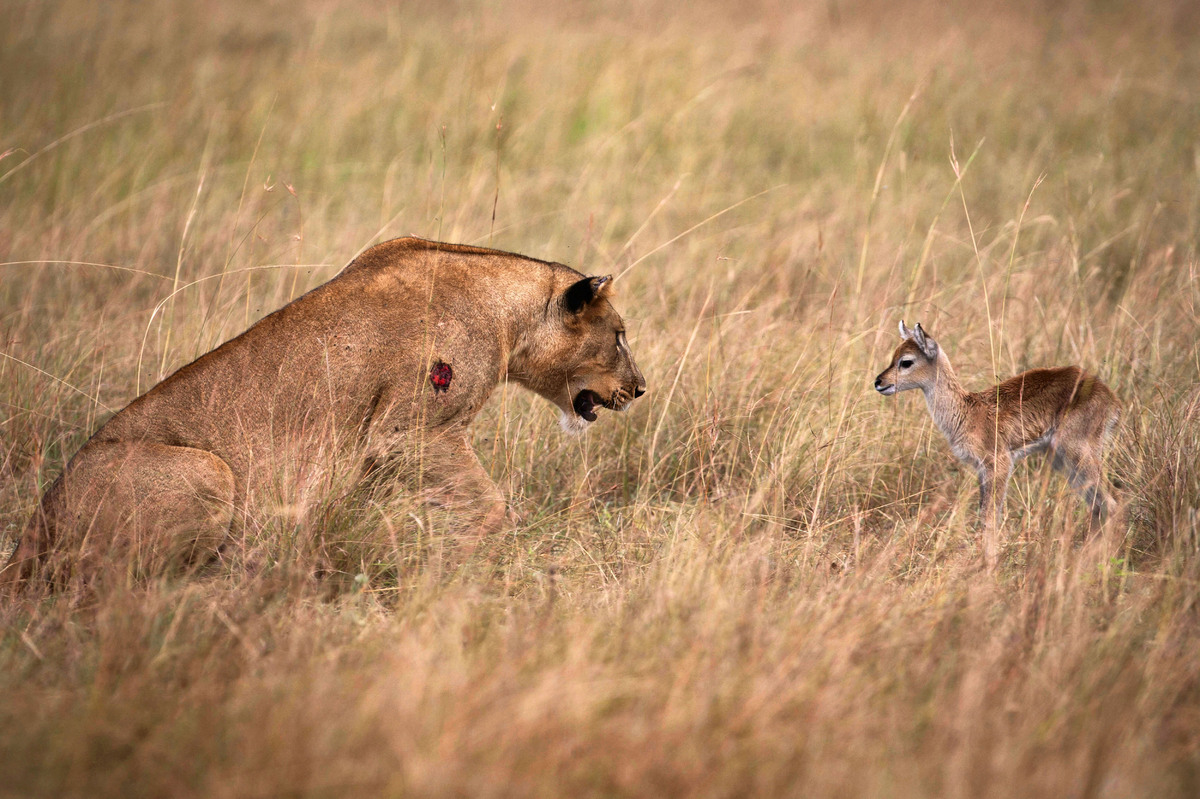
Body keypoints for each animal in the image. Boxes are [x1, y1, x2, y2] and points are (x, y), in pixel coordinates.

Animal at [878, 319, 1118, 566]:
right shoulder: (982, 470)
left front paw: (988, 566)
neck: (967, 412)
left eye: (906, 361)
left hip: (1078, 452)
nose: (879, 382)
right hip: (1063, 461)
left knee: (1111, 502)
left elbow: (990, 517)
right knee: (1096, 504)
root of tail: (1110, 396)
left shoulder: (1000, 463)